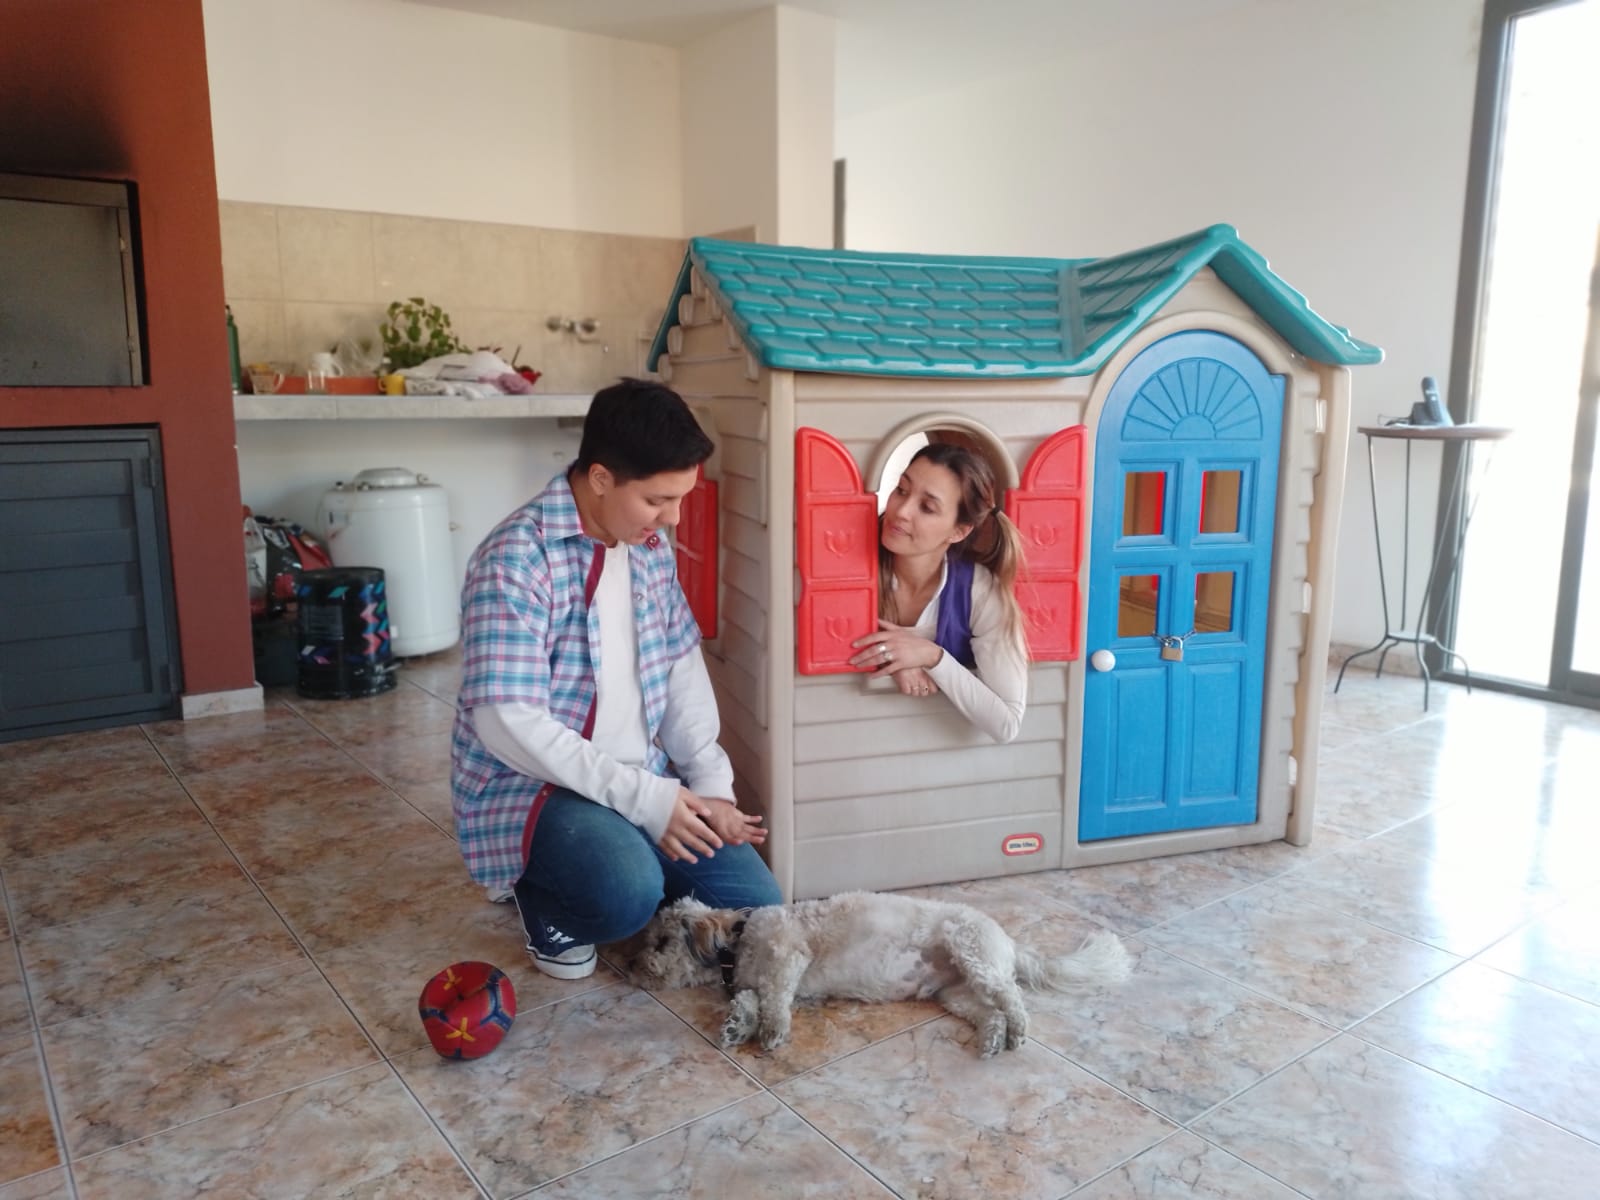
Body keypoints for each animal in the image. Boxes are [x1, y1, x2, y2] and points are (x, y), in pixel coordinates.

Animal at [623, 891, 1130, 1058]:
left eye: (661, 943)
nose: (629, 966)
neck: (739, 943)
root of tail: (1008, 941)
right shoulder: (755, 981)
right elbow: (750, 1000)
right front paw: (736, 1026)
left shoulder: (789, 956)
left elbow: (775, 999)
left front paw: (771, 1032)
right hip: (957, 994)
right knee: (992, 1012)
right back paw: (990, 1039)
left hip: (973, 954)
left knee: (1013, 999)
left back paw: (1018, 1030)